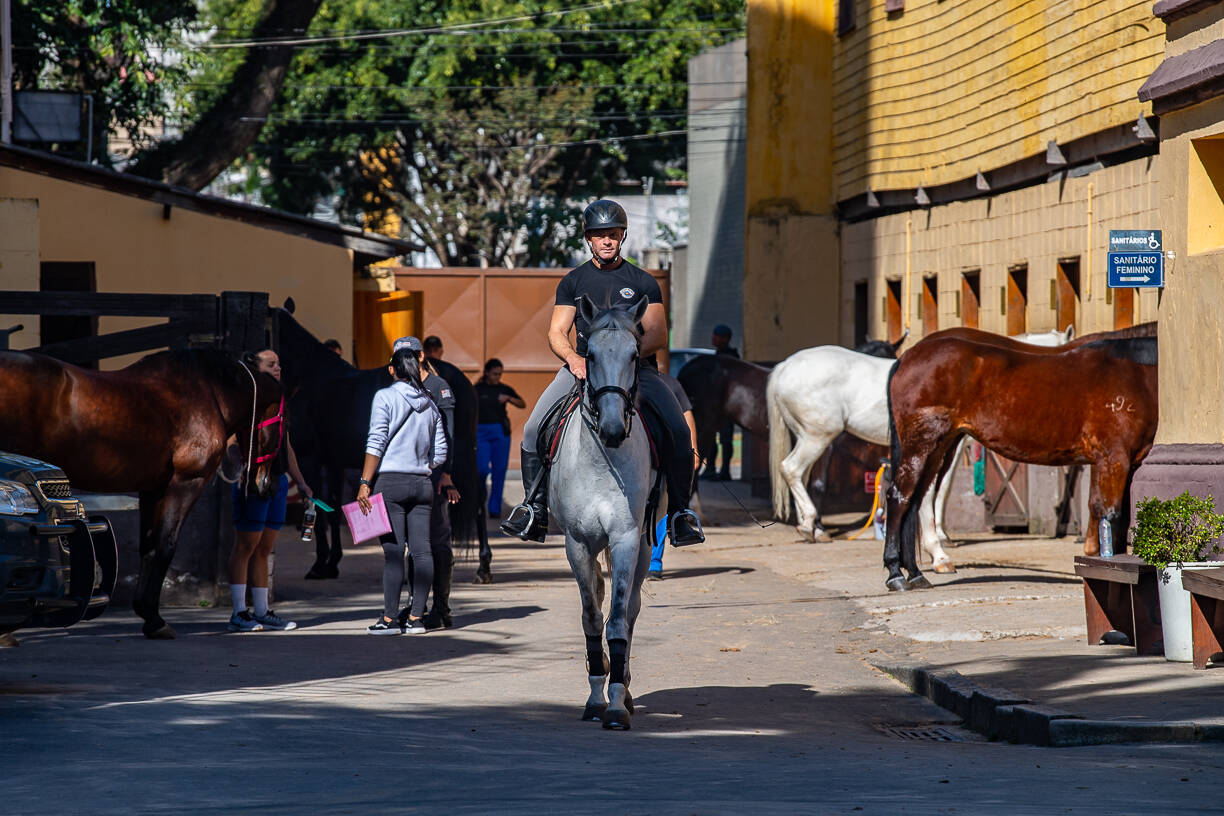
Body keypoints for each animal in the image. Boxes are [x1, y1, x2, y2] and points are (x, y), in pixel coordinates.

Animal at [0, 347, 283, 636]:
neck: (209, 391)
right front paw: (154, 619)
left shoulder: (153, 490)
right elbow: (165, 545)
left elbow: (148, 547)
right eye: (282, 422)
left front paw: (146, 612)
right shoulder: (186, 483)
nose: (268, 485)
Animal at [275, 305, 489, 579]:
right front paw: (332, 563)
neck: (313, 377)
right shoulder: (333, 462)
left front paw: (319, 564)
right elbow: (332, 508)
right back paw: (484, 566)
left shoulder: (309, 458)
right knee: (480, 499)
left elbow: (318, 507)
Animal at [768, 325, 1077, 567]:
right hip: (818, 437)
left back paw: (812, 528)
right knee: (792, 469)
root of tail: (784, 367)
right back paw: (810, 523)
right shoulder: (951, 445)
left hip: (809, 438)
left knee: (801, 477)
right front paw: (940, 536)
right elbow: (942, 489)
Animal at [881, 327, 1155, 594]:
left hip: (938, 447)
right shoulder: (1114, 458)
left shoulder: (1122, 463)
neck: (1134, 373)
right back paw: (896, 574)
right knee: (899, 497)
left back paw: (915, 573)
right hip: (922, 445)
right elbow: (1111, 514)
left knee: (914, 502)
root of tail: (906, 357)